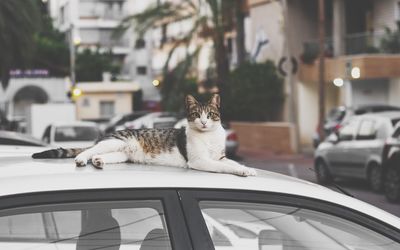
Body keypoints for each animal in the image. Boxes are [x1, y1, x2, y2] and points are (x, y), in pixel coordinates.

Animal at [31, 94, 256, 177]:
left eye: (209, 115)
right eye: (196, 115)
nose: (203, 122)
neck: (208, 135)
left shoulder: (220, 156)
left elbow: (232, 162)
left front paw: (247, 168)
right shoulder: (200, 160)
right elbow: (224, 167)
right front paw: (241, 171)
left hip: (121, 154)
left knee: (100, 155)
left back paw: (98, 162)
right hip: (113, 142)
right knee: (89, 149)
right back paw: (81, 159)